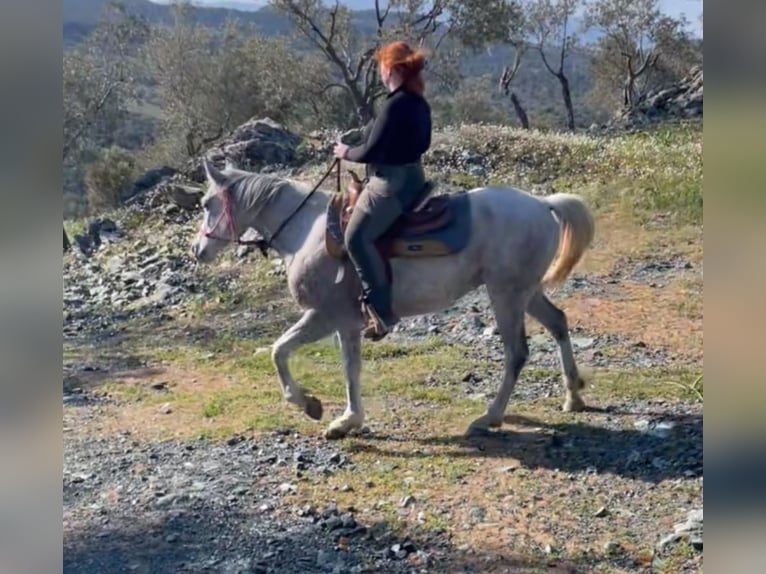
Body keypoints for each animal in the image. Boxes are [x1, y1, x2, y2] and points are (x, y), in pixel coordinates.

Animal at [190, 159, 595, 439]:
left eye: (208, 203)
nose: (197, 250)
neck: (308, 230)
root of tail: (542, 203)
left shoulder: (325, 315)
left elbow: (280, 351)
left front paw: (311, 405)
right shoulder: (346, 323)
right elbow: (348, 367)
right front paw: (346, 420)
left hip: (506, 295)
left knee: (516, 353)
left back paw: (490, 417)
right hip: (526, 291)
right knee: (558, 322)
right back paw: (572, 396)